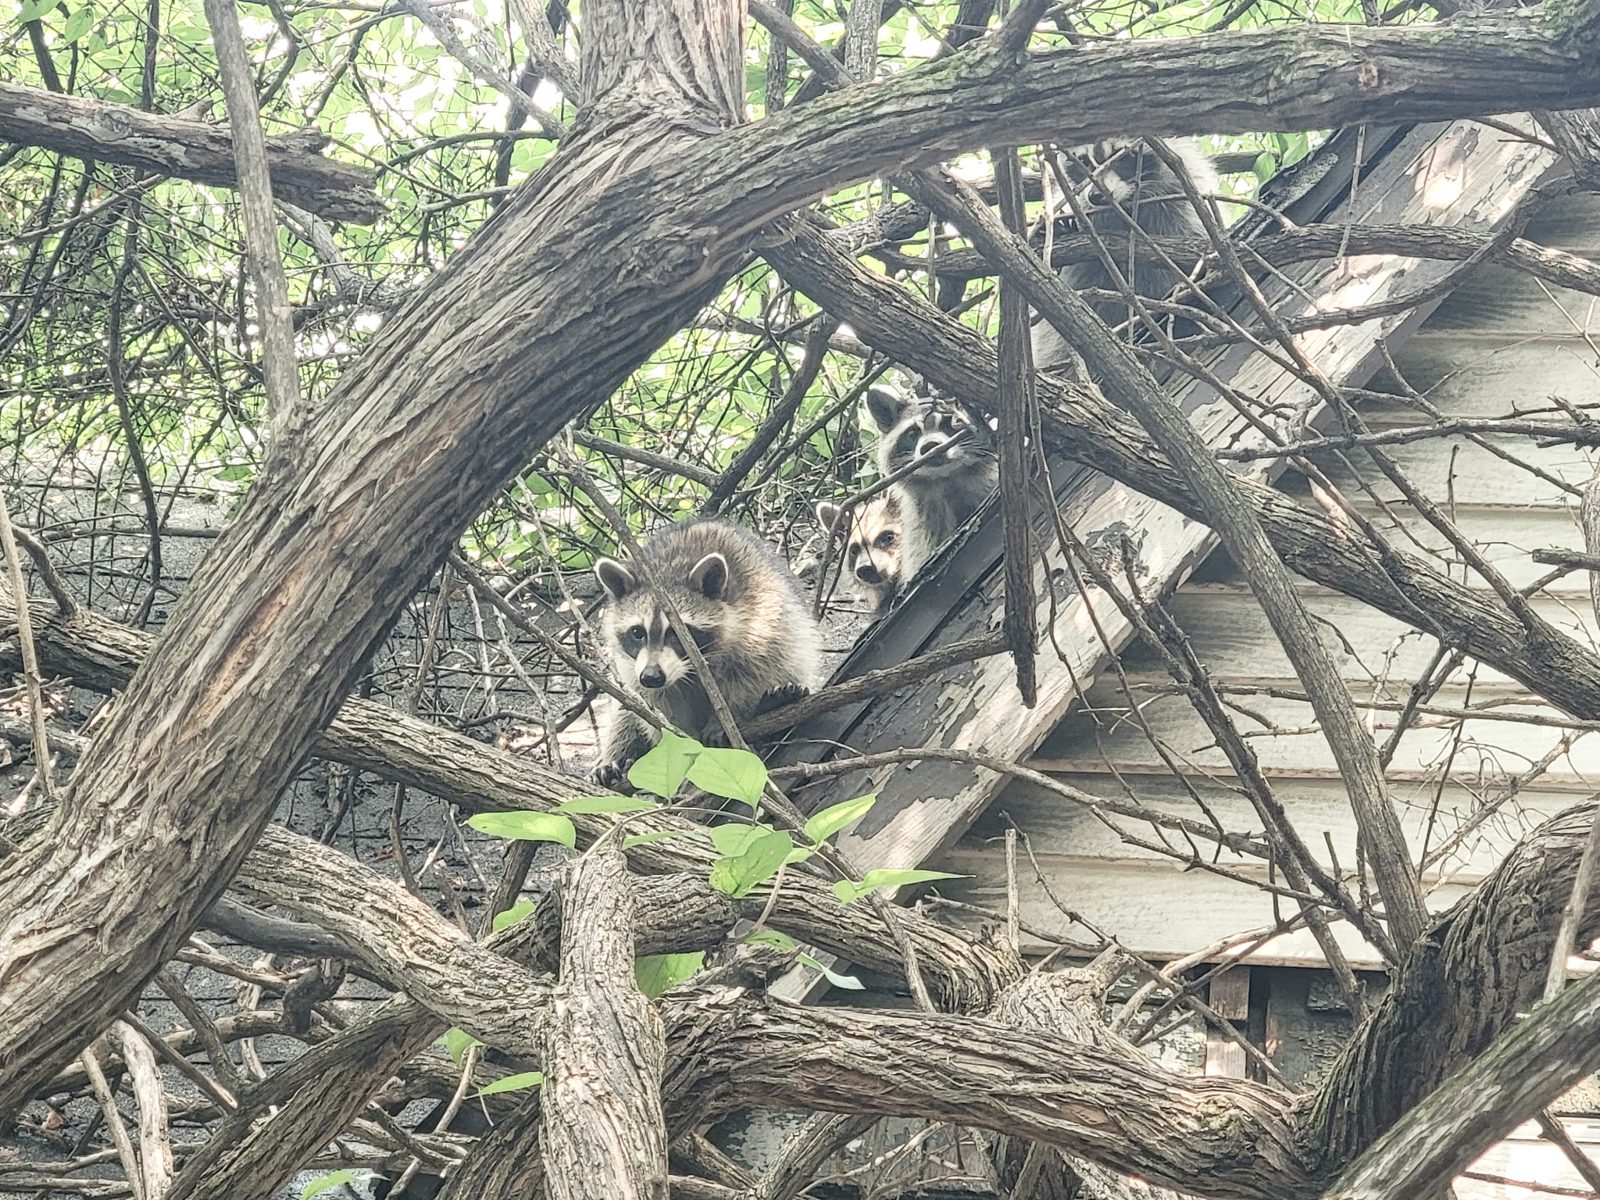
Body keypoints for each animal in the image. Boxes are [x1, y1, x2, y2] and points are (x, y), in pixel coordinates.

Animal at [590, 518, 824, 785]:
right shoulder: (634, 666)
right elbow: (653, 702)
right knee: (623, 709)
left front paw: (727, 717)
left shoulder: (762, 621)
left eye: (677, 632)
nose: (652, 676)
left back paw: (773, 703)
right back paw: (617, 752)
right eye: (637, 632)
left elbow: (752, 675)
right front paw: (676, 740)